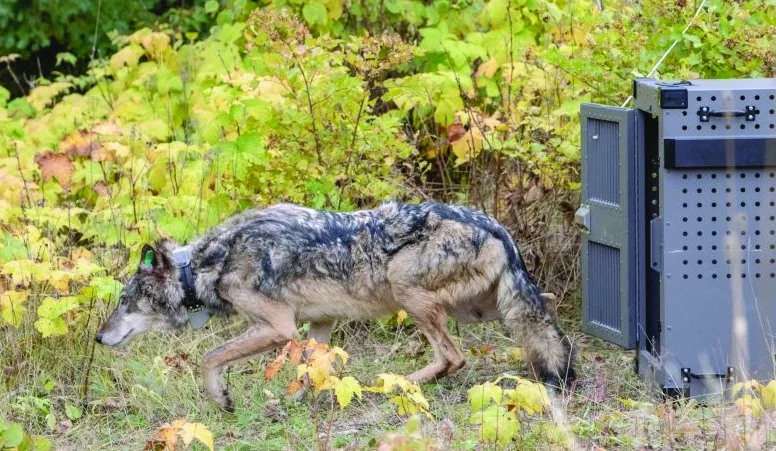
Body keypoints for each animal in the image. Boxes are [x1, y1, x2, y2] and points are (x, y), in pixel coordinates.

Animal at [95, 202, 575, 411]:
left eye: (125, 301)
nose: (99, 338)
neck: (207, 264)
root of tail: (496, 227)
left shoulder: (279, 327)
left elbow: (209, 359)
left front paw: (221, 398)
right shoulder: (319, 324)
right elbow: (310, 369)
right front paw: (293, 400)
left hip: (411, 294)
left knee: (452, 357)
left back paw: (396, 385)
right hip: (483, 309)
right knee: (546, 314)